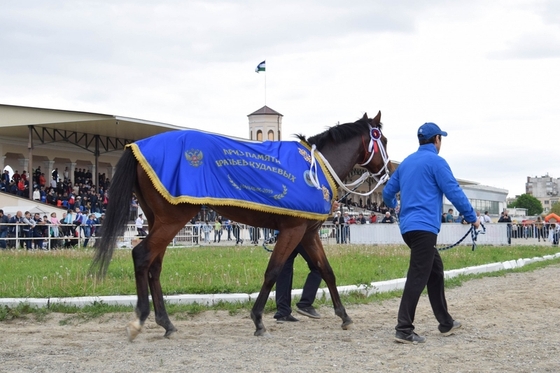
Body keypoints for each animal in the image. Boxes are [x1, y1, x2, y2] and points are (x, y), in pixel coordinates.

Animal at [92, 109, 392, 338]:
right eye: (384, 140)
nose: (386, 174)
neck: (316, 167)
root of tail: (136, 147)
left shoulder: (308, 233)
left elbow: (326, 271)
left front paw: (344, 316)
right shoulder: (293, 230)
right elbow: (273, 271)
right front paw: (258, 319)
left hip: (159, 219)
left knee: (154, 266)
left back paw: (166, 323)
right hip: (172, 219)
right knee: (142, 255)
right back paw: (140, 319)